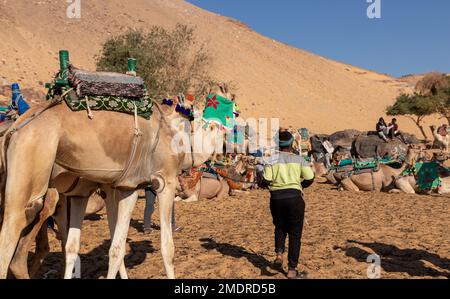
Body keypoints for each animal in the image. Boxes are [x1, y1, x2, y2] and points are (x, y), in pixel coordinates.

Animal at [0, 83, 230, 280]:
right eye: (216, 125)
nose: (227, 144)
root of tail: (15, 128)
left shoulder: (111, 189)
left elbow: (100, 244)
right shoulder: (163, 182)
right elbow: (165, 248)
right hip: (32, 174)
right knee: (12, 238)